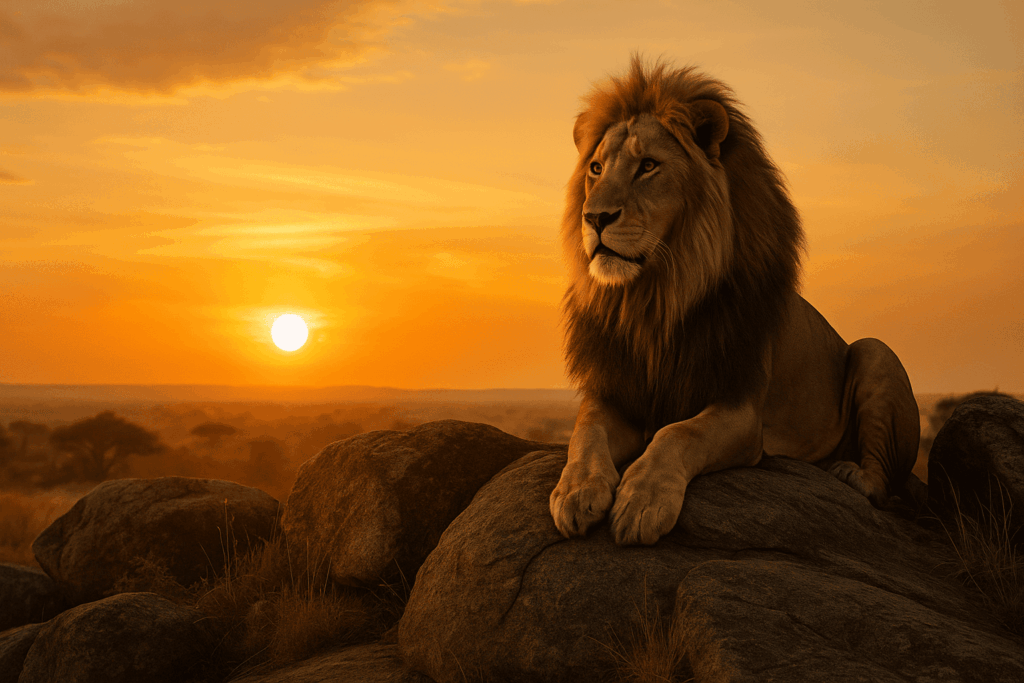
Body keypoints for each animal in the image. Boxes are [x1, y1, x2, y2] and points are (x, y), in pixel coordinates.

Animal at [549, 57, 921, 546]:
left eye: (648, 165)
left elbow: (679, 434)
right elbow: (585, 432)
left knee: (883, 487)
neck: (657, 298)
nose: (594, 218)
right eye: (594, 169)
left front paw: (642, 501)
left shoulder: (741, 411)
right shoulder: (617, 391)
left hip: (875, 352)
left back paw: (848, 472)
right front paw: (576, 491)